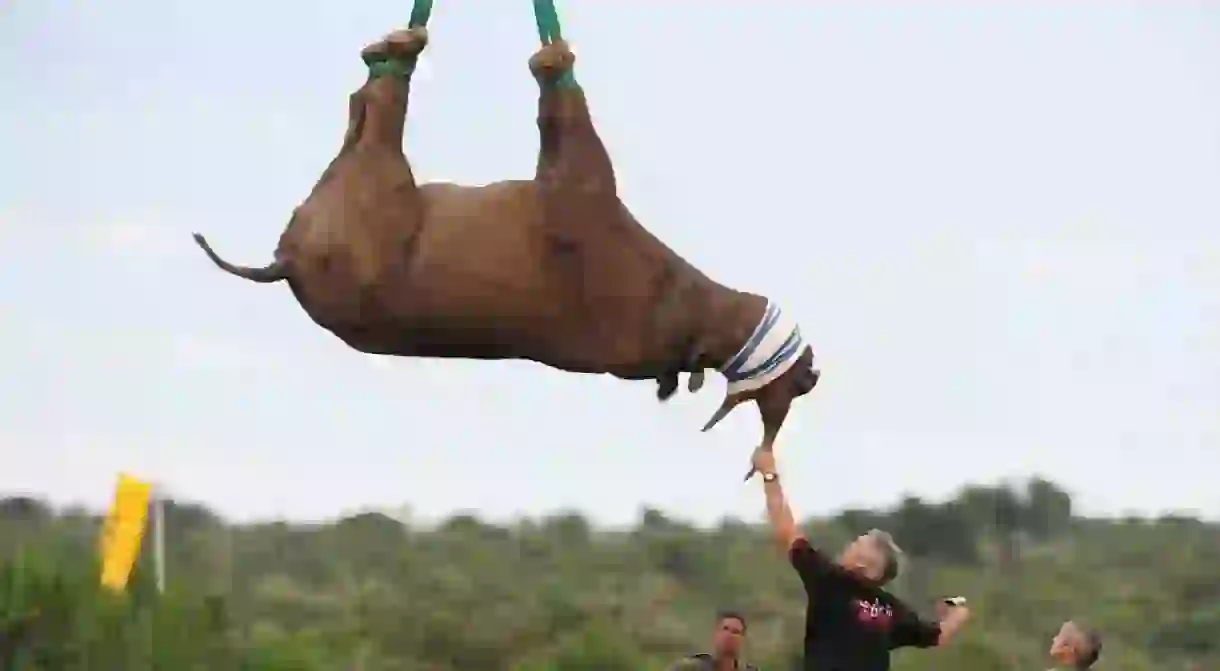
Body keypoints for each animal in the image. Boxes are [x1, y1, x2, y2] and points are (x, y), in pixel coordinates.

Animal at [192, 26, 819, 473]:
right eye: (795, 383)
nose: (813, 370)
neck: (692, 315)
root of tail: (285, 264)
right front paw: (554, 60)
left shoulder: (576, 186)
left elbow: (560, 109)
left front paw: (552, 62)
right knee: (363, 106)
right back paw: (392, 50)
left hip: (376, 184)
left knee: (376, 110)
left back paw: (399, 50)